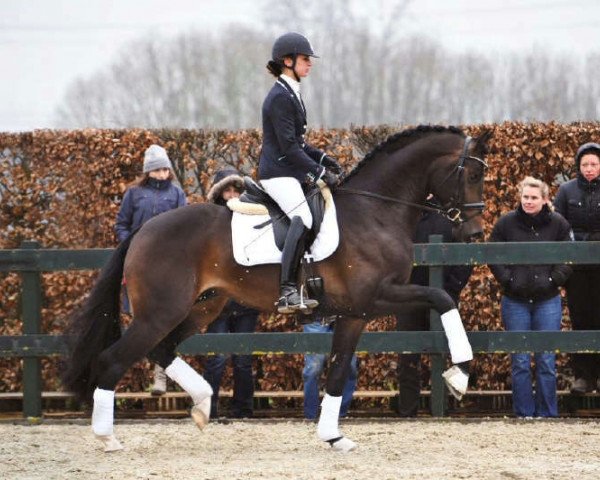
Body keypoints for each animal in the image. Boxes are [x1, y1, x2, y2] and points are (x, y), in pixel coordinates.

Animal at [62, 123, 492, 450]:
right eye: (472, 175)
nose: (474, 233)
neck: (375, 211)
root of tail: (143, 230)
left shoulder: (356, 313)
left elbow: (338, 373)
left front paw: (333, 436)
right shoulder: (376, 296)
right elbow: (442, 297)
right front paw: (459, 376)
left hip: (204, 307)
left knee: (163, 350)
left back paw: (202, 405)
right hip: (161, 311)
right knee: (114, 359)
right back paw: (109, 438)